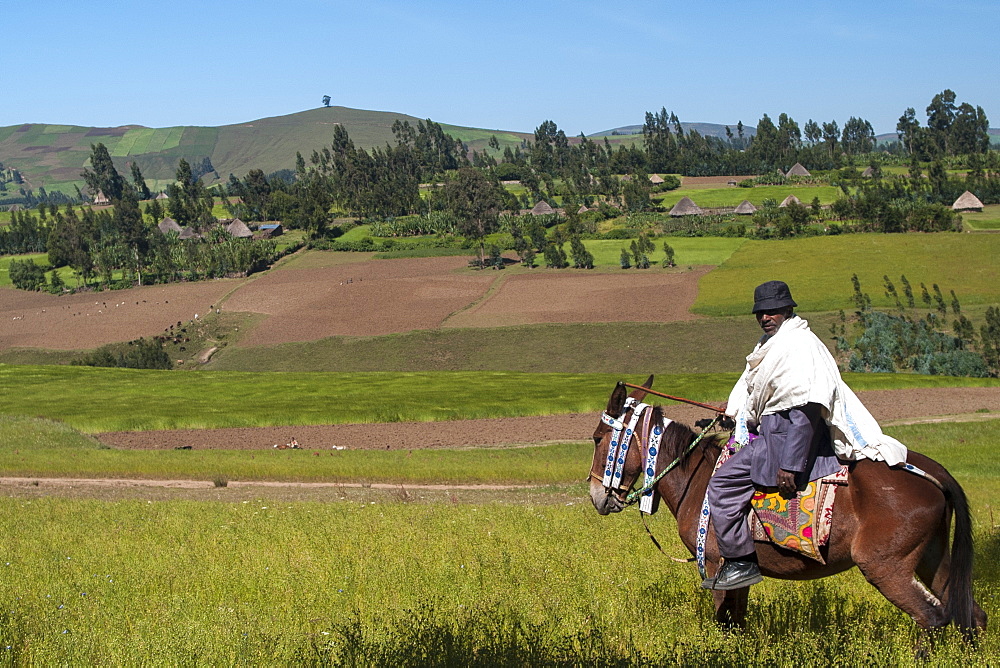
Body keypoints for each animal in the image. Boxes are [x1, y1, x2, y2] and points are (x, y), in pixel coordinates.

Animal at [588, 376, 988, 636]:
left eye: (597, 438)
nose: (596, 496)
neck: (696, 477)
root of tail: (932, 471)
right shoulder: (740, 572)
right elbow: (738, 623)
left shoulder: (715, 566)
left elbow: (724, 622)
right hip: (932, 558)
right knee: (972, 616)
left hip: (885, 567)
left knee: (931, 619)